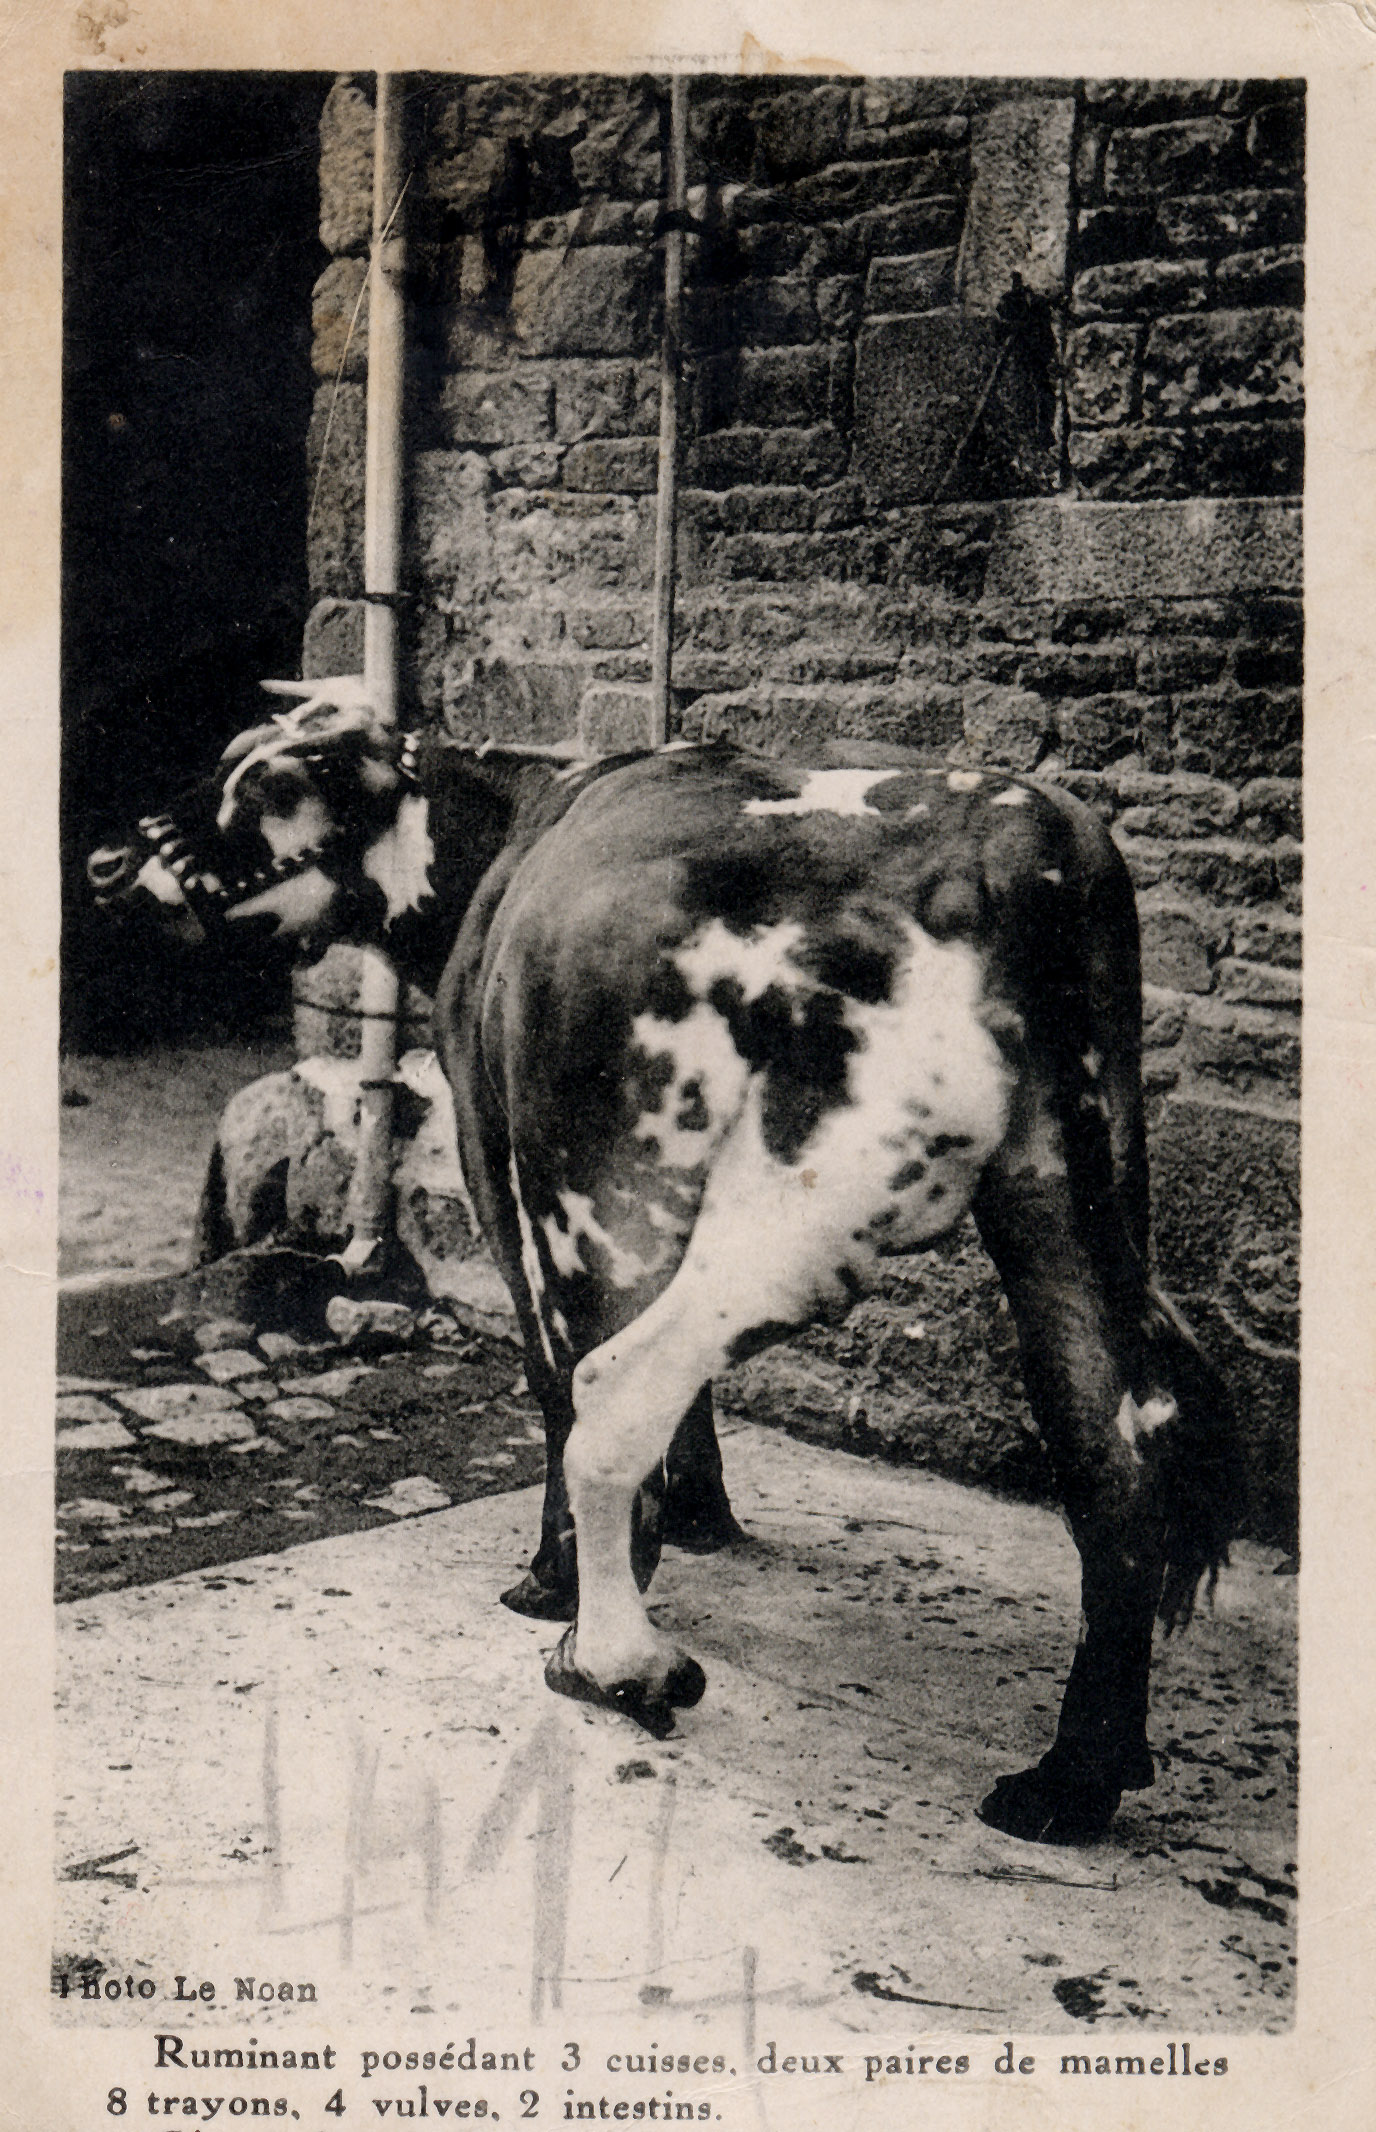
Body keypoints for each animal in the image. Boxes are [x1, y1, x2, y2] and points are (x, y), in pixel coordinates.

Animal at [88, 684, 1242, 1845]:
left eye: (269, 782)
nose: (104, 864)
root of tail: (1007, 845)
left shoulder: (510, 1169)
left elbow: (553, 1380)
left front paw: (558, 1576)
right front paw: (699, 1513)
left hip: (776, 1210)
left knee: (611, 1388)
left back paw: (613, 1659)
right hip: (1065, 1200)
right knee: (1114, 1446)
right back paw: (1075, 1777)